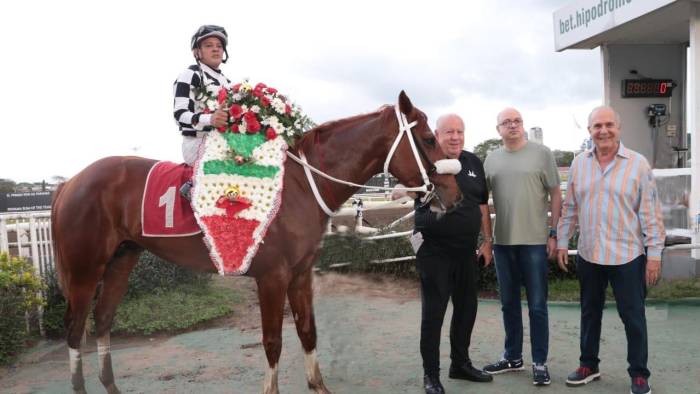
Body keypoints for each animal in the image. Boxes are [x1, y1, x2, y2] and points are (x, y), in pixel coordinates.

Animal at [52, 91, 462, 392]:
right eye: (429, 139)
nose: (454, 195)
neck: (300, 186)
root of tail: (70, 183)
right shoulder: (271, 277)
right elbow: (273, 341)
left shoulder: (300, 274)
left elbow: (308, 331)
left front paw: (318, 384)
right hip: (85, 269)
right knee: (74, 330)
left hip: (122, 259)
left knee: (103, 321)